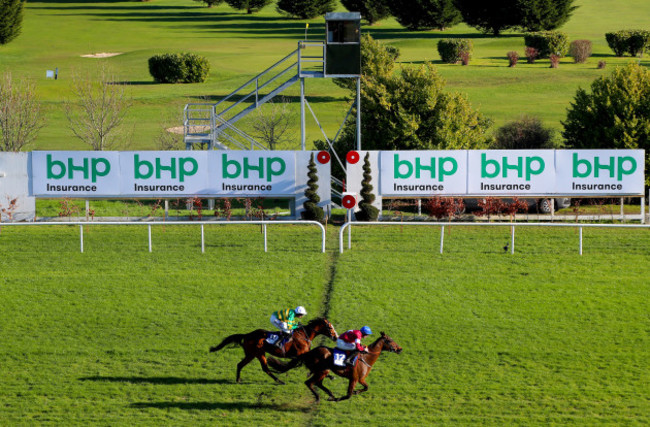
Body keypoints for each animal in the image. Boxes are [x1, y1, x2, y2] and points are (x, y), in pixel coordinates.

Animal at [209, 316, 340, 386]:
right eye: (330, 327)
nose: (336, 337)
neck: (304, 335)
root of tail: (247, 335)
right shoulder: (301, 354)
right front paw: (328, 376)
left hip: (252, 354)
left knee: (240, 364)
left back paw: (238, 379)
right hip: (258, 353)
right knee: (265, 368)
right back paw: (279, 381)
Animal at [264, 332, 398, 404]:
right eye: (391, 340)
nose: (400, 348)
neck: (367, 357)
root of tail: (309, 352)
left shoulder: (360, 379)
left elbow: (366, 388)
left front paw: (354, 392)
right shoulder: (354, 379)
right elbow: (348, 395)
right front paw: (338, 399)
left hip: (323, 371)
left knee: (317, 383)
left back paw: (330, 394)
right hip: (321, 371)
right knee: (310, 383)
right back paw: (319, 397)